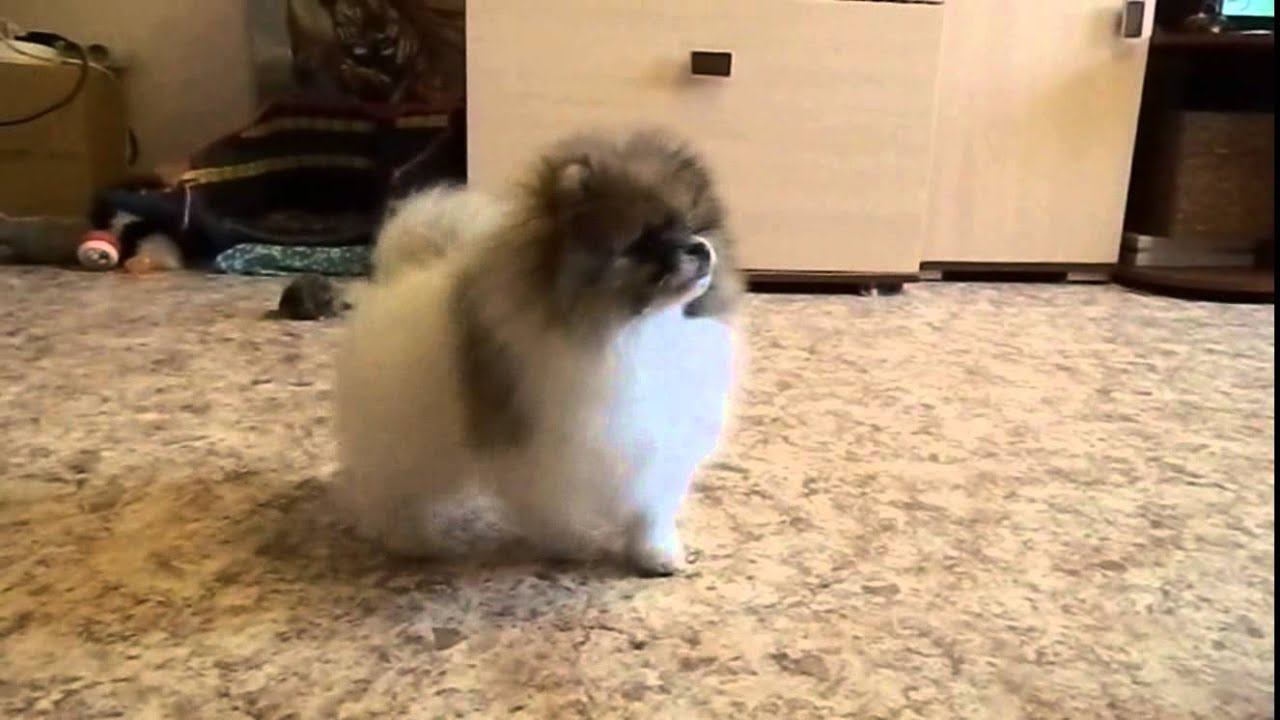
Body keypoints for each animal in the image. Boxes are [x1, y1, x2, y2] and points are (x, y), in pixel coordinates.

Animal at [334, 129, 743, 575]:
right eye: (642, 242)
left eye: (692, 226)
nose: (699, 248)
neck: (638, 331)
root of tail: (408, 272)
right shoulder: (543, 448)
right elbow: (550, 508)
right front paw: (571, 545)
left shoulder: (655, 448)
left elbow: (649, 511)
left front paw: (656, 553)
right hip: (409, 429)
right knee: (394, 487)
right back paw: (410, 539)